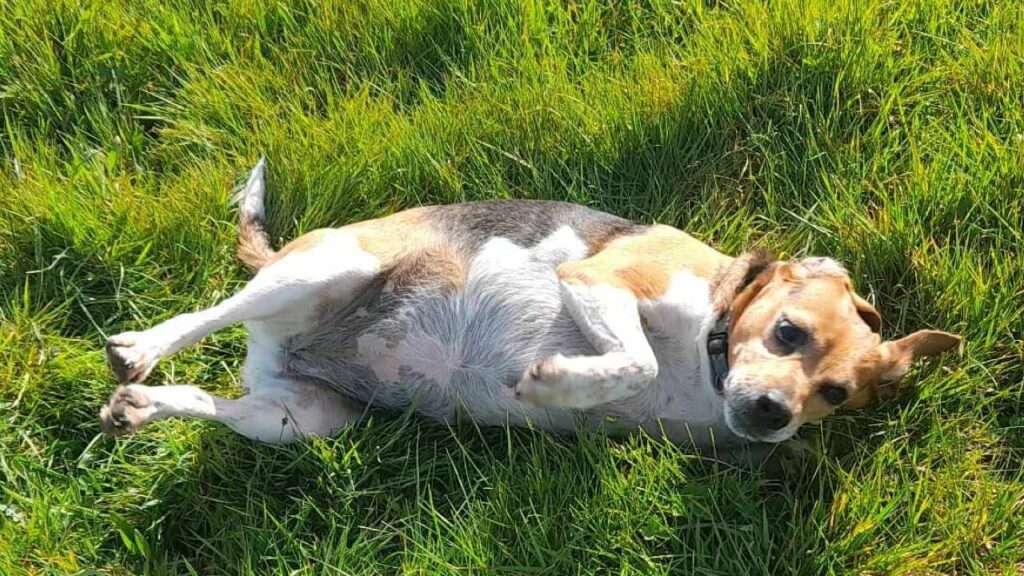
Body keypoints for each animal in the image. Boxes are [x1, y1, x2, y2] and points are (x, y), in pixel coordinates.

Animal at [99, 157, 954, 448]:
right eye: (785, 332)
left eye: (836, 396)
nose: (776, 414)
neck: (711, 347)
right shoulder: (603, 282)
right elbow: (635, 362)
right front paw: (554, 383)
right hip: (323, 270)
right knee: (205, 316)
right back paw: (140, 348)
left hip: (305, 419)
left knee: (213, 403)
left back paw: (142, 406)